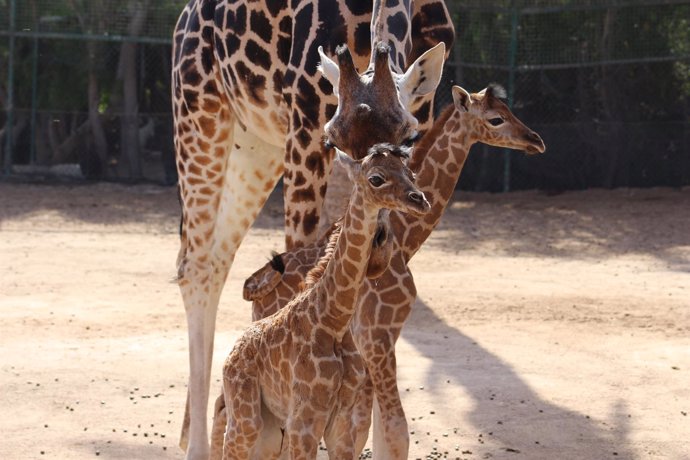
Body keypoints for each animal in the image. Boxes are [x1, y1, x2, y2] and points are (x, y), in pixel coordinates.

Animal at [170, 1, 454, 458]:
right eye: (333, 140)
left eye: (409, 138)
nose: (379, 243)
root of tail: (186, 18)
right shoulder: (305, 130)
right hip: (202, 113)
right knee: (194, 267)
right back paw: (198, 445)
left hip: (255, 146)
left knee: (216, 262)